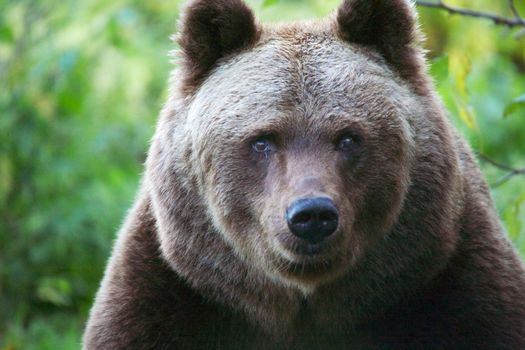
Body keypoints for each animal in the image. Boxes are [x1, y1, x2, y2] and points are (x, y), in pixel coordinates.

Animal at [83, 0, 524, 348]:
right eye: (263, 140)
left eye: (348, 137)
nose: (312, 215)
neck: (303, 303)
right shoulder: (172, 293)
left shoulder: (451, 282)